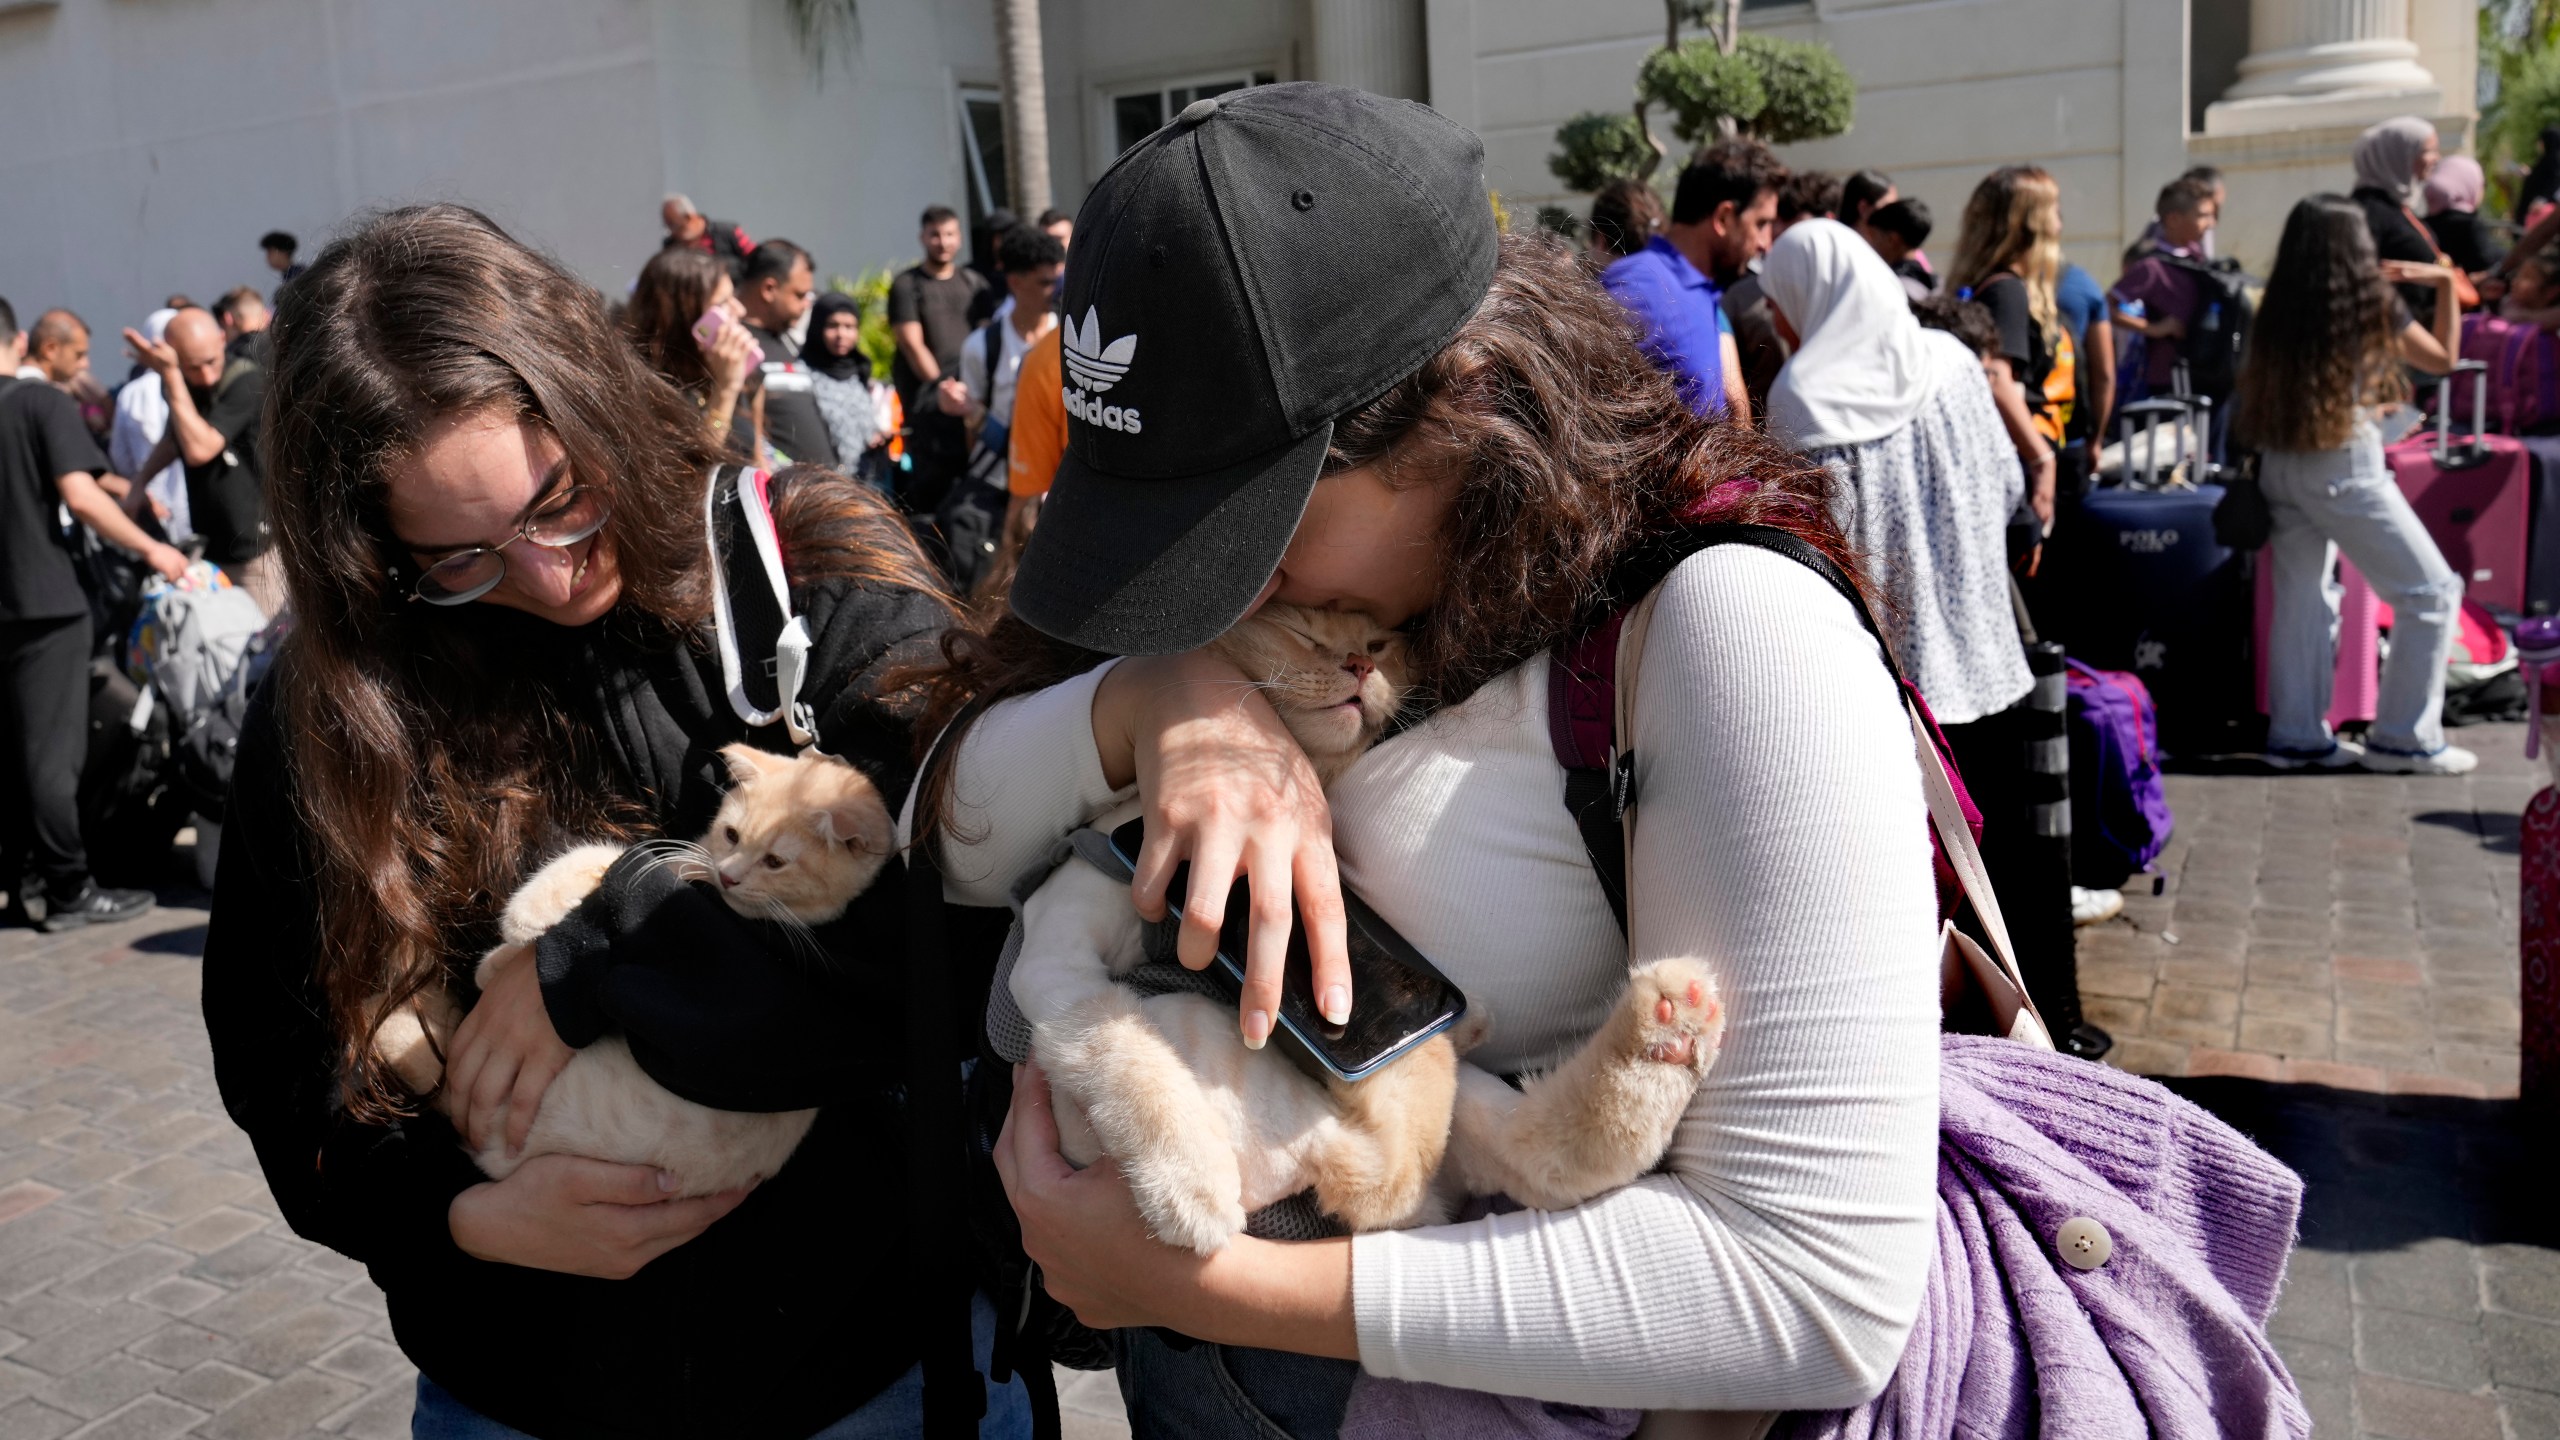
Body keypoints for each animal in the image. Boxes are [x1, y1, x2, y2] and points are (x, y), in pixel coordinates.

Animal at [371, 743, 901, 1194]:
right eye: (731, 834)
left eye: (775, 861)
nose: (729, 875)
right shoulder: (693, 864)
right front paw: (503, 954)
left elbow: (611, 861)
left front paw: (524, 917)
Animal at [1008, 599, 1730, 1250]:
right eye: (1302, 633)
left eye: (1378, 644)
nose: (1358, 664)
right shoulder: (1058, 965)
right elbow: (1125, 1056)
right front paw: (1192, 1190)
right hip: (1216, 1039)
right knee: (1402, 1163)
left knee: (1502, 1154)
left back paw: (1664, 1029)